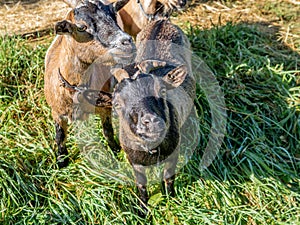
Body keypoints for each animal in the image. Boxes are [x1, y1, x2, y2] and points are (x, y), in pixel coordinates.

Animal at [44, 0, 135, 168]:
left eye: (114, 14)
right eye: (81, 27)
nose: (127, 43)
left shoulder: (105, 108)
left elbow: (108, 131)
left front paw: (115, 150)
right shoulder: (56, 112)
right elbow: (60, 136)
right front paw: (61, 161)